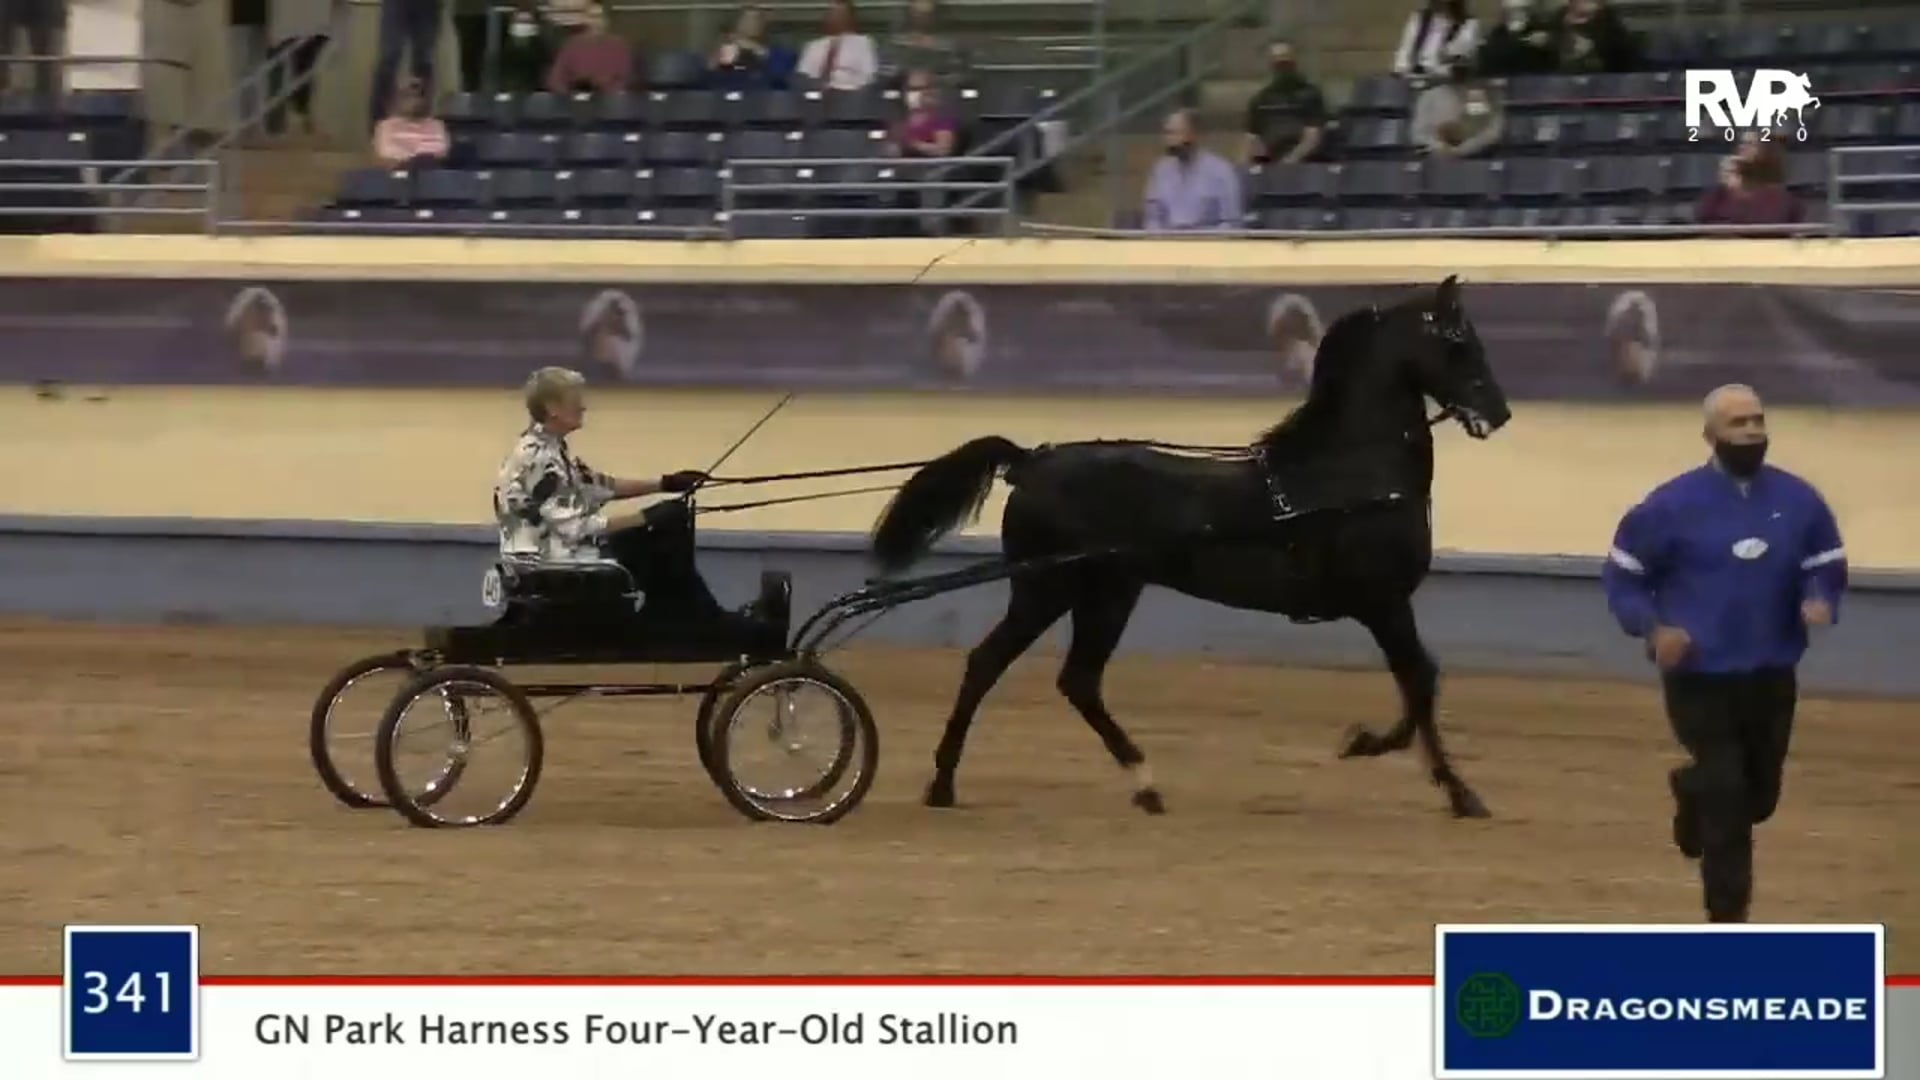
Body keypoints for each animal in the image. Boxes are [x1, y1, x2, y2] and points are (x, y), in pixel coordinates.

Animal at [867, 276, 1513, 818]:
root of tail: (1031, 462)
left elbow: (1418, 682)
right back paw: (944, 784)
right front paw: (1421, 772)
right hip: (1045, 588)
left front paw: (1428, 774)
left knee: (1078, 680)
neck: (1351, 472)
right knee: (988, 664)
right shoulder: (1383, 602)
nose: (1499, 412)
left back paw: (1144, 786)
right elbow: (1421, 682)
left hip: (1106, 594)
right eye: (1459, 339)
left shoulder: (1384, 605)